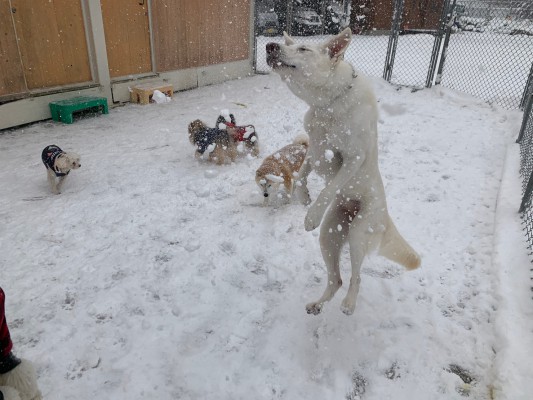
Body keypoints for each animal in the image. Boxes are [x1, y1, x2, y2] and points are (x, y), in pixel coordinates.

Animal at [266, 27, 420, 316]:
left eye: (303, 49)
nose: (269, 46)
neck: (327, 104)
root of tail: (386, 217)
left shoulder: (352, 158)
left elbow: (330, 186)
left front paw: (312, 214)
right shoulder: (315, 146)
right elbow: (303, 173)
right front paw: (303, 196)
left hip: (359, 233)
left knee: (356, 276)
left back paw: (349, 303)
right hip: (330, 235)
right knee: (335, 278)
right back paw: (318, 304)